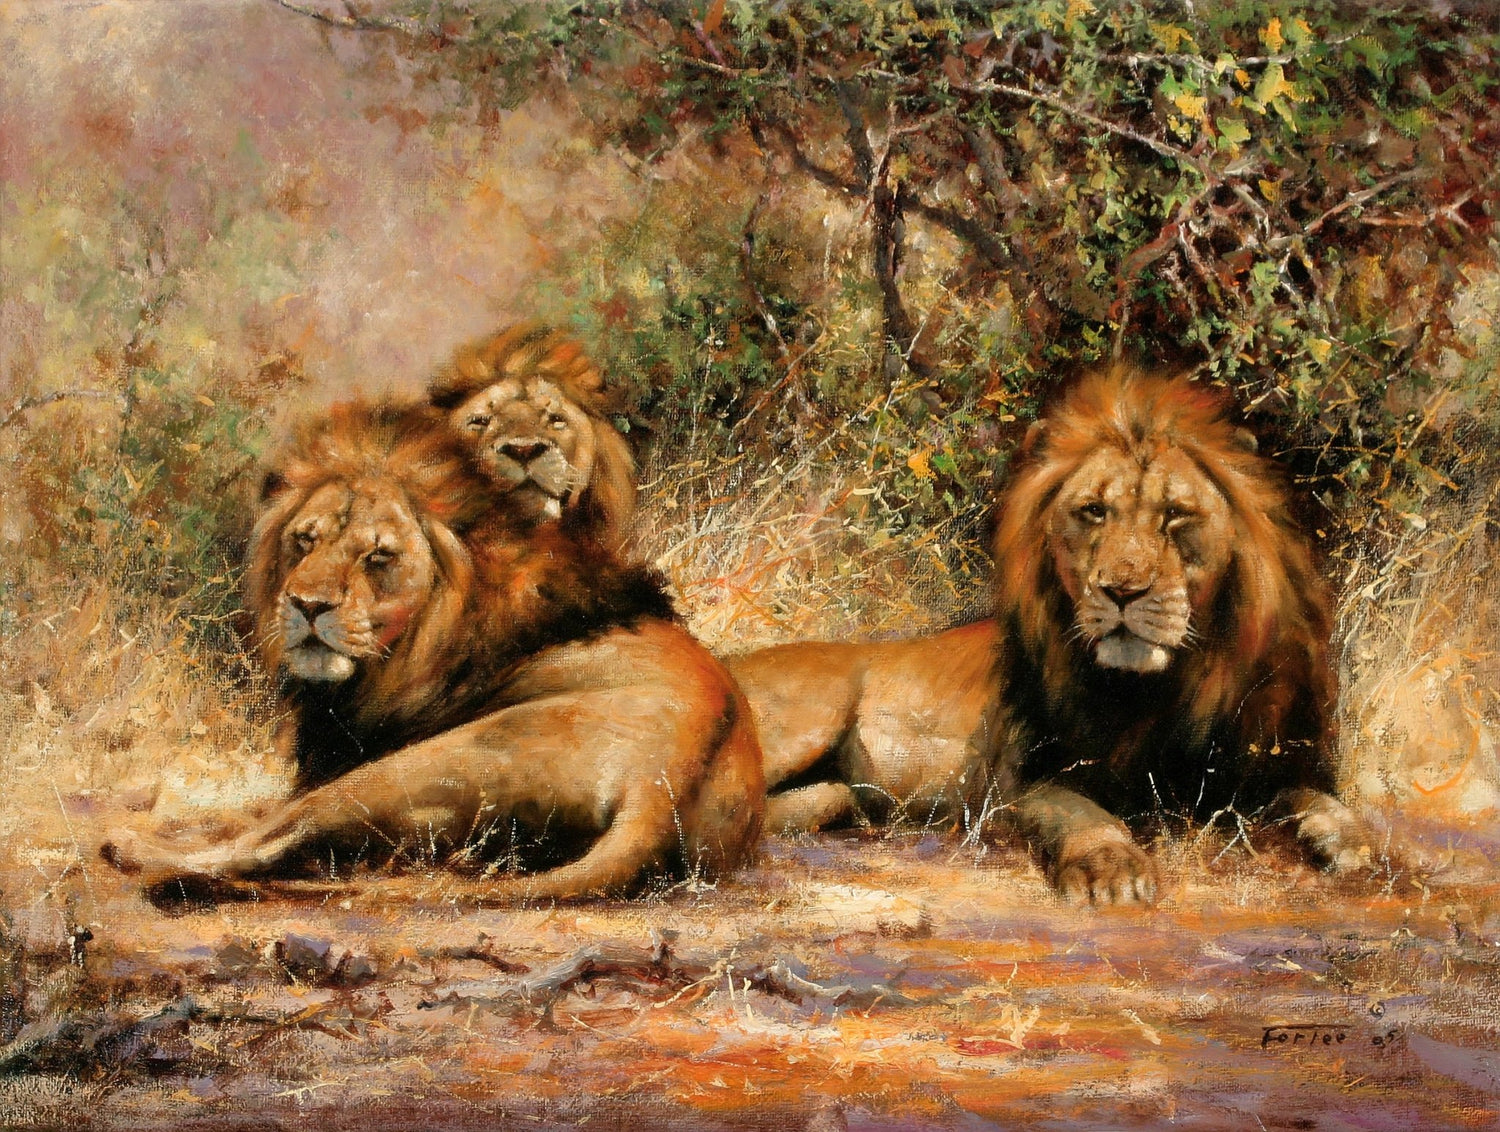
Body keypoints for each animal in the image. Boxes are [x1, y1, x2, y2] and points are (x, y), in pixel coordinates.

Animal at [103, 401, 763, 903]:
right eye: (304, 541)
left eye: (378, 556)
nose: (306, 605)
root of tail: (662, 787)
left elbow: (255, 821)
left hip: (426, 761)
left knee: (270, 843)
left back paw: (137, 854)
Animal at [730, 364, 1368, 904]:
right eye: (1094, 511)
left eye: (1175, 515)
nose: (1122, 590)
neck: (1158, 690)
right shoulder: (1019, 783)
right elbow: (1082, 813)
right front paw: (1113, 869)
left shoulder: (1264, 767)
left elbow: (1316, 799)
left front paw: (1355, 843)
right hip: (805, 719)